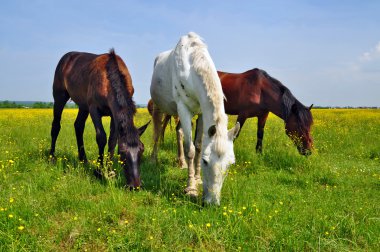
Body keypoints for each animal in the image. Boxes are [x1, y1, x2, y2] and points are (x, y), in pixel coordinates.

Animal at [50, 49, 150, 188]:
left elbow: (112, 140)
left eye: (142, 150)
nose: (135, 186)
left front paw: (110, 170)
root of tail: (66, 58)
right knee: (56, 125)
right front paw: (98, 171)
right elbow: (101, 137)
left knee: (78, 126)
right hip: (60, 96)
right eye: (122, 152)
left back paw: (83, 160)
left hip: (83, 105)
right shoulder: (94, 109)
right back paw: (51, 157)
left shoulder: (113, 114)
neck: (108, 80)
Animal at [150, 32, 239, 205]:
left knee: (179, 131)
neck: (190, 68)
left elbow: (198, 145)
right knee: (157, 133)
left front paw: (197, 179)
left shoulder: (201, 113)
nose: (212, 203)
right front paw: (191, 188)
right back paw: (153, 159)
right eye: (206, 161)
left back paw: (181, 163)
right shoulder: (183, 109)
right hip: (159, 107)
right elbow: (190, 149)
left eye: (231, 164)